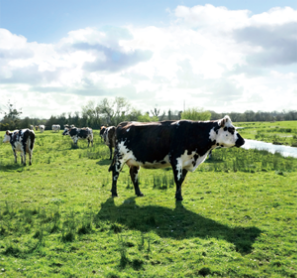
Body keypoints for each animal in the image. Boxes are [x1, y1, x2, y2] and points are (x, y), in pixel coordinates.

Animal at [108, 114, 245, 200]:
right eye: (231, 129)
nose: (243, 141)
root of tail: (123, 123)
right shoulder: (177, 160)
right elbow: (178, 180)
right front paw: (179, 197)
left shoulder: (186, 162)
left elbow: (182, 180)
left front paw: (178, 195)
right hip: (120, 157)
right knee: (115, 174)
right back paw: (114, 193)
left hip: (134, 161)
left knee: (133, 175)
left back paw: (139, 193)